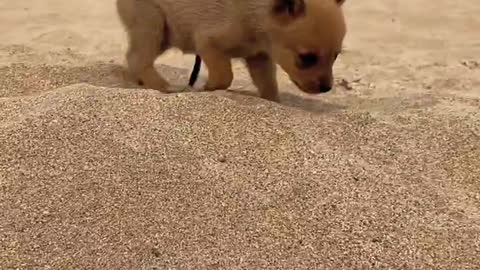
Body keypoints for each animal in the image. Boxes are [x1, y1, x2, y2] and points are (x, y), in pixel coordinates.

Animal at [117, 0, 346, 101]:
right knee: (138, 58)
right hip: (152, 23)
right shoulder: (208, 42)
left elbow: (269, 86)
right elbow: (224, 76)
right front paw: (207, 89)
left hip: (165, 35)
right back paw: (163, 87)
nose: (326, 88)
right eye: (306, 58)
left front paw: (272, 102)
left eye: (335, 56)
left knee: (134, 58)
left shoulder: (259, 57)